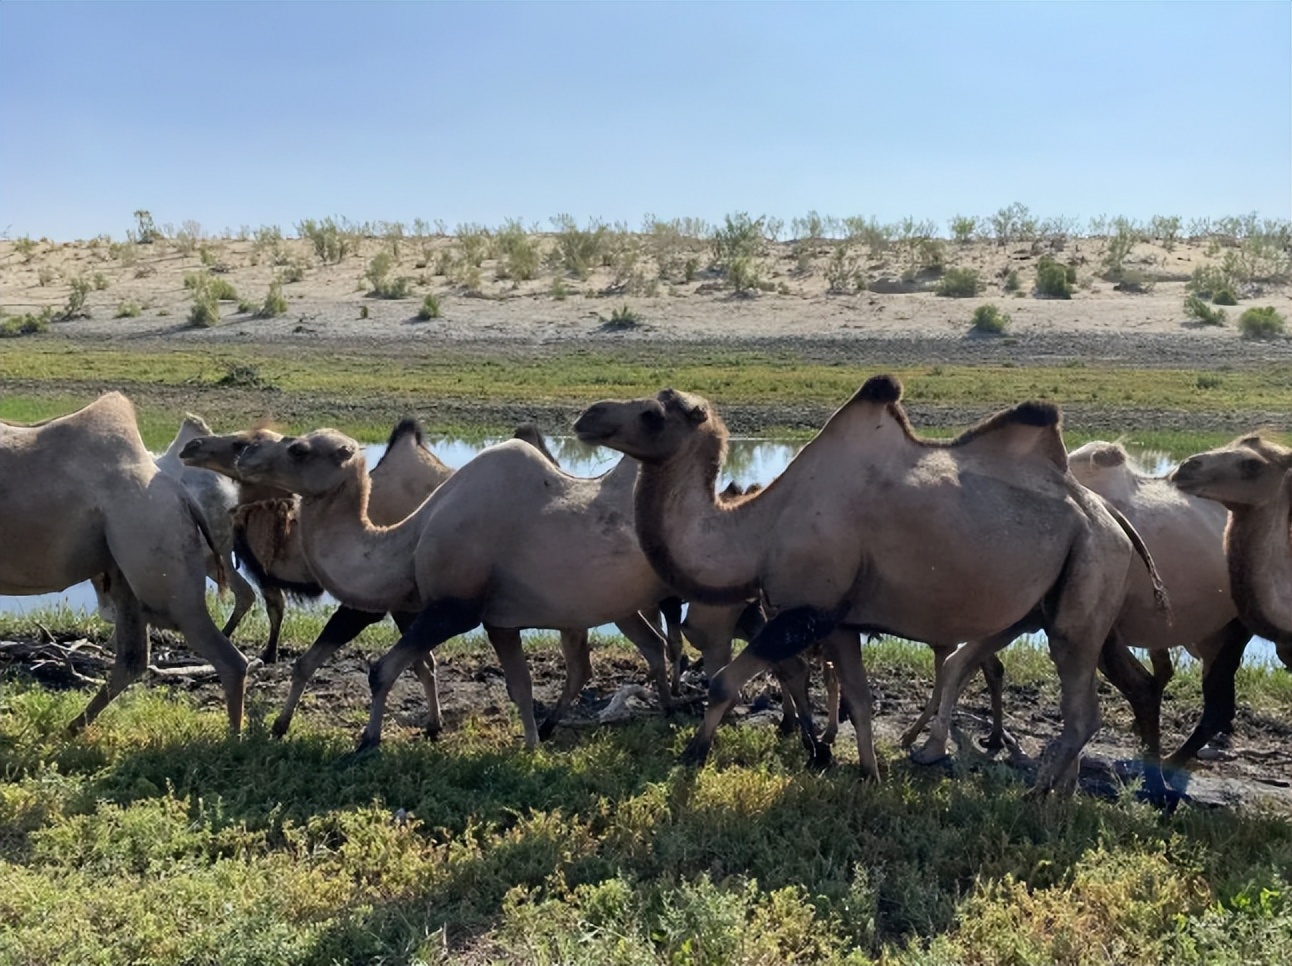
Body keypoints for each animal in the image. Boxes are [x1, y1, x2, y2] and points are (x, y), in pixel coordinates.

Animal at [0, 392, 246, 733]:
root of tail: (180, 493)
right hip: (128, 571)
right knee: (133, 659)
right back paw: (73, 727)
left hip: (156, 553)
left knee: (222, 653)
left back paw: (235, 738)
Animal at [571, 377, 1167, 790]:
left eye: (652, 414)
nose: (587, 415)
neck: (759, 528)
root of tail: (1111, 518)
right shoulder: (840, 619)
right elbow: (857, 699)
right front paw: (867, 772)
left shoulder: (803, 610)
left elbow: (724, 681)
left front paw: (693, 755)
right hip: (1065, 601)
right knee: (1109, 683)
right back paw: (1067, 792)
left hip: (1086, 582)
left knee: (1081, 709)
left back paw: (1037, 796)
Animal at [904, 441, 1245, 774]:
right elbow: (970, 664)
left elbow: (965, 666)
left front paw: (929, 742)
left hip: (1230, 629)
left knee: (1211, 703)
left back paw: (1168, 763)